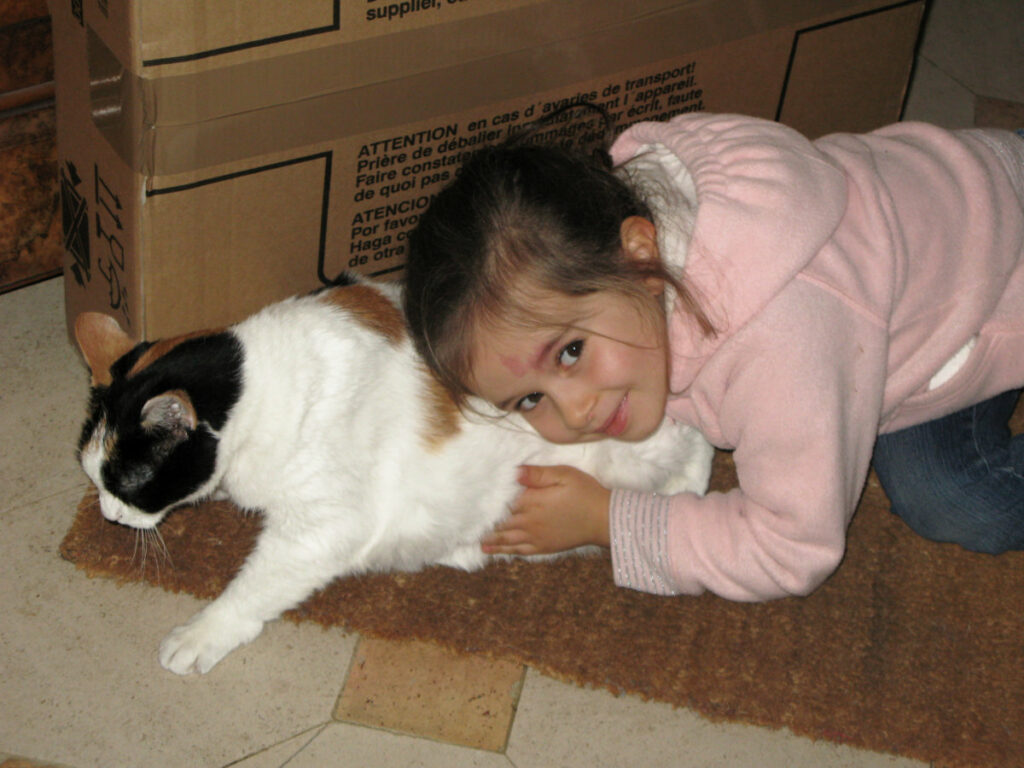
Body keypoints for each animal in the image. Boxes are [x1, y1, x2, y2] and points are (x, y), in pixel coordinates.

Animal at [75, 274, 713, 675]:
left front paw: (202, 633)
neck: (259, 381)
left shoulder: (323, 526)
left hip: (627, 451)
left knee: (690, 464)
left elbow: (254, 584)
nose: (108, 514)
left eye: (127, 483)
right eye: (93, 479)